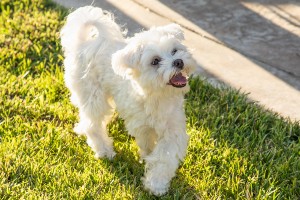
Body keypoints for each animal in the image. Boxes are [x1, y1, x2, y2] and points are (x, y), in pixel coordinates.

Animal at [61, 5, 197, 195]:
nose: (178, 62)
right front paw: (155, 183)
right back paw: (104, 150)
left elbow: (163, 156)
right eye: (155, 61)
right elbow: (151, 148)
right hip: (93, 95)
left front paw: (156, 181)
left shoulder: (172, 128)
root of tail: (84, 43)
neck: (158, 96)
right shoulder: (143, 126)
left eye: (174, 51)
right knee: (93, 124)